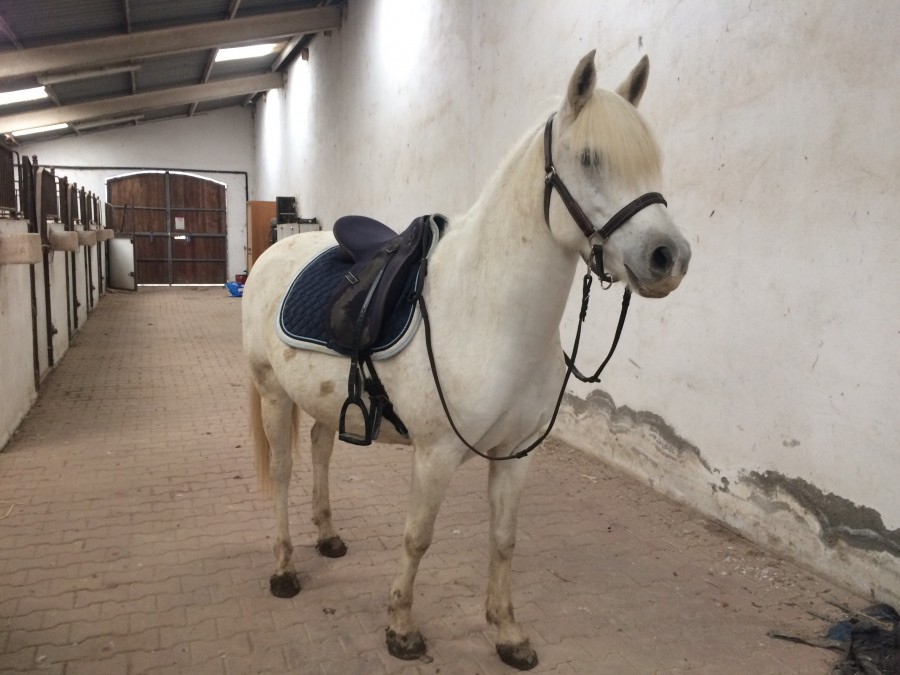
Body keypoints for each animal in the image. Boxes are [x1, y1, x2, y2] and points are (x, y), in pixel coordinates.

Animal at [242, 50, 691, 670]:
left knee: (320, 449)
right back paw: (284, 567)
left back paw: (327, 537)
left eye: (653, 161)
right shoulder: (436, 455)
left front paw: (507, 632)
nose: (669, 257)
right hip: (272, 392)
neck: (489, 314)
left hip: (322, 398)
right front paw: (401, 628)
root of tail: (276, 251)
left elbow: (503, 540)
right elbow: (418, 537)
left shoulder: (517, 455)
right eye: (589, 158)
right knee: (284, 471)